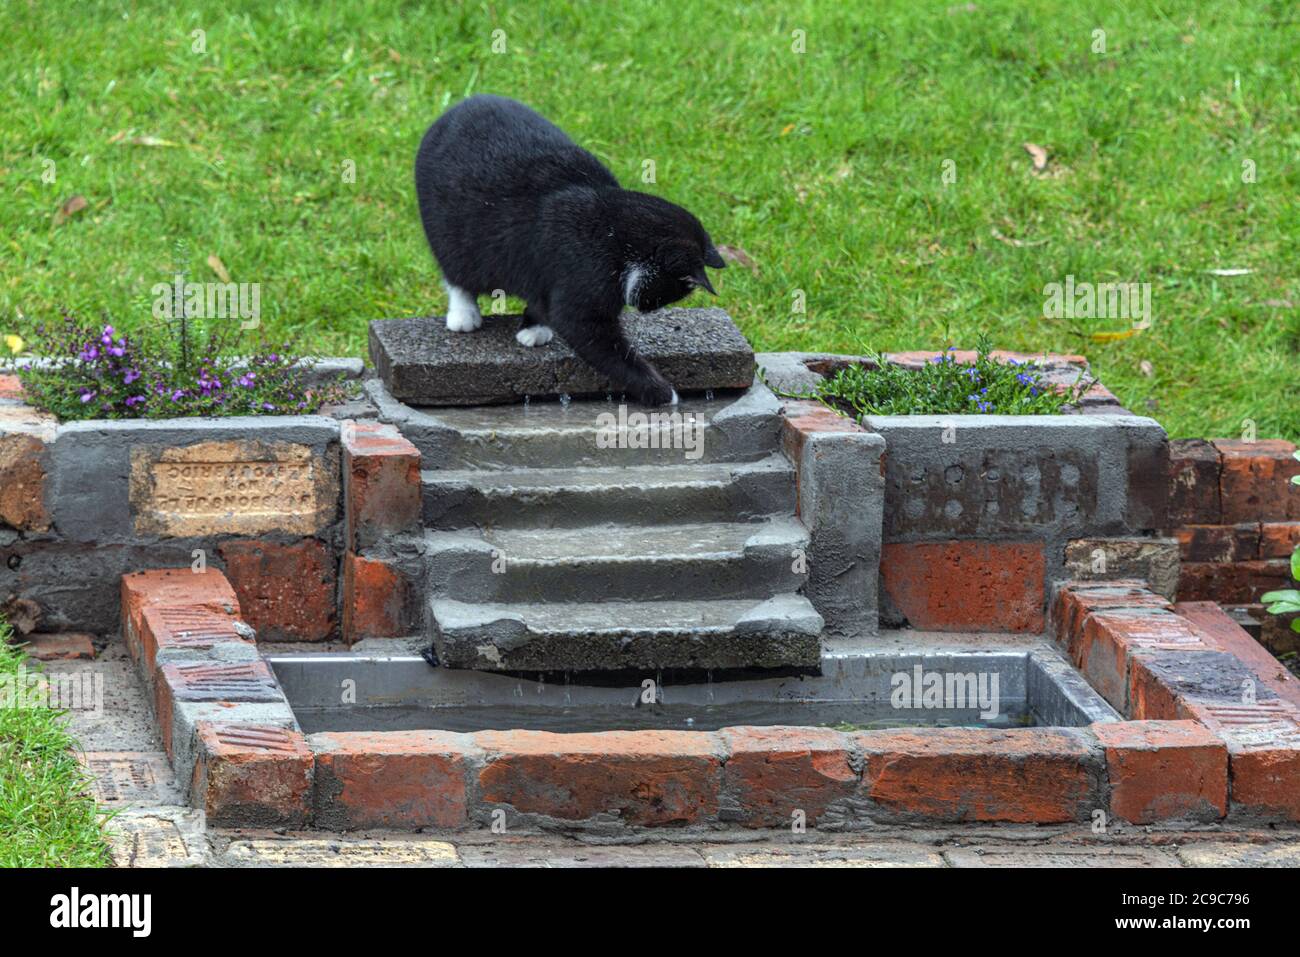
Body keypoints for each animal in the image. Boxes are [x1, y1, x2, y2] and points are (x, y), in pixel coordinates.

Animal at [413, 97, 728, 408]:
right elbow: (604, 347)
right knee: (457, 275)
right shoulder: (582, 295)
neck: (615, 236)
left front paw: (533, 327)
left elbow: (544, 300)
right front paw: (663, 393)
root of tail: (463, 104)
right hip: (451, 237)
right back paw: (463, 314)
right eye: (671, 293)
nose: (647, 309)